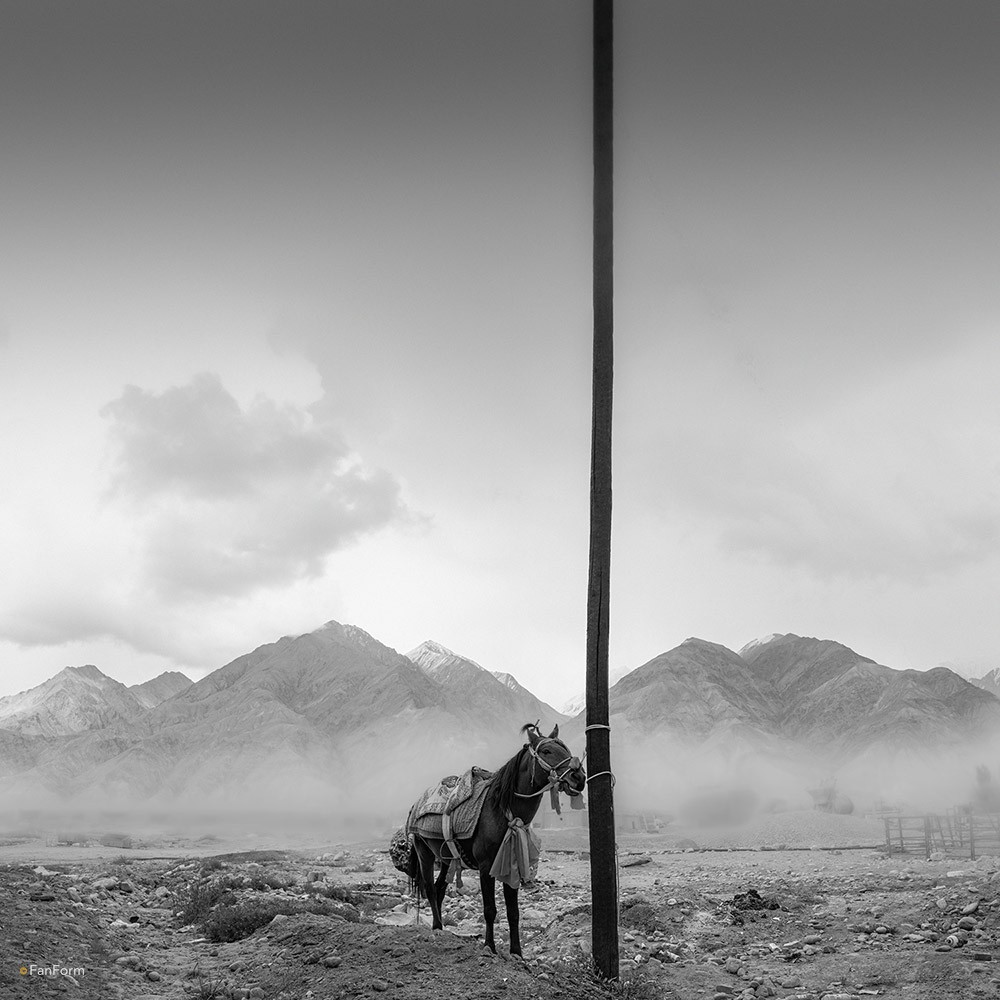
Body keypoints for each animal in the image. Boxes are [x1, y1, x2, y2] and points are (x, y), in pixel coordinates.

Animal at [406, 722, 586, 956]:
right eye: (547, 751)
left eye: (565, 748)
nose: (579, 778)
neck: (501, 810)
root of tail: (416, 803)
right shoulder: (486, 866)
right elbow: (490, 909)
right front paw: (489, 946)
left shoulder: (512, 863)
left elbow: (513, 912)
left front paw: (517, 952)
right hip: (424, 853)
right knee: (429, 888)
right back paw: (437, 927)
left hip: (446, 859)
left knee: (439, 889)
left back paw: (441, 928)